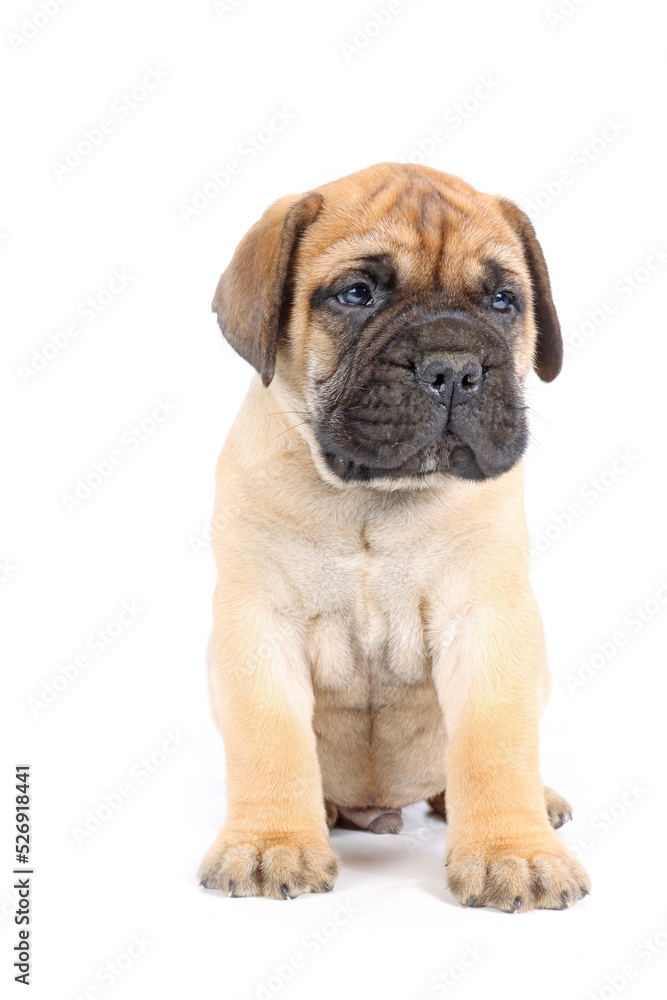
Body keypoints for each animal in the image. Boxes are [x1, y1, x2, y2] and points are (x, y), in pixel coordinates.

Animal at [198, 164, 588, 916]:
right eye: (356, 294)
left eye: (503, 300)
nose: (453, 367)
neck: (374, 502)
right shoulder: (258, 624)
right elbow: (270, 739)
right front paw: (270, 842)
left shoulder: (487, 622)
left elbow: (494, 745)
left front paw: (512, 853)